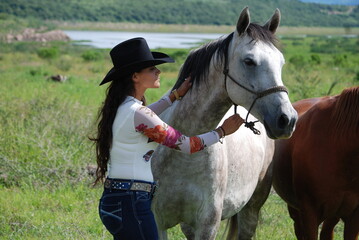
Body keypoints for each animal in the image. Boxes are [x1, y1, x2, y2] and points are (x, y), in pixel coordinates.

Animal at [151, 7, 298, 240]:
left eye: (281, 62)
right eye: (249, 61)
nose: (287, 119)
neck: (183, 151)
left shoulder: (208, 224)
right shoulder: (157, 222)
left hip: (252, 208)